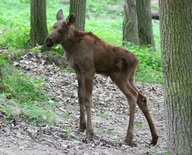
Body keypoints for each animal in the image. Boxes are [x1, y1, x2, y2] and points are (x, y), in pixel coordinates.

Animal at [45, 9, 158, 145]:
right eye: (52, 27)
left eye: (61, 30)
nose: (48, 41)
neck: (71, 47)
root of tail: (137, 61)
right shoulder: (78, 71)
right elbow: (80, 97)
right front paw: (81, 126)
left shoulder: (89, 70)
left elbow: (88, 99)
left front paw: (89, 132)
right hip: (130, 78)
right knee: (142, 97)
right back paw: (154, 138)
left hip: (119, 77)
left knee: (132, 96)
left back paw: (128, 137)